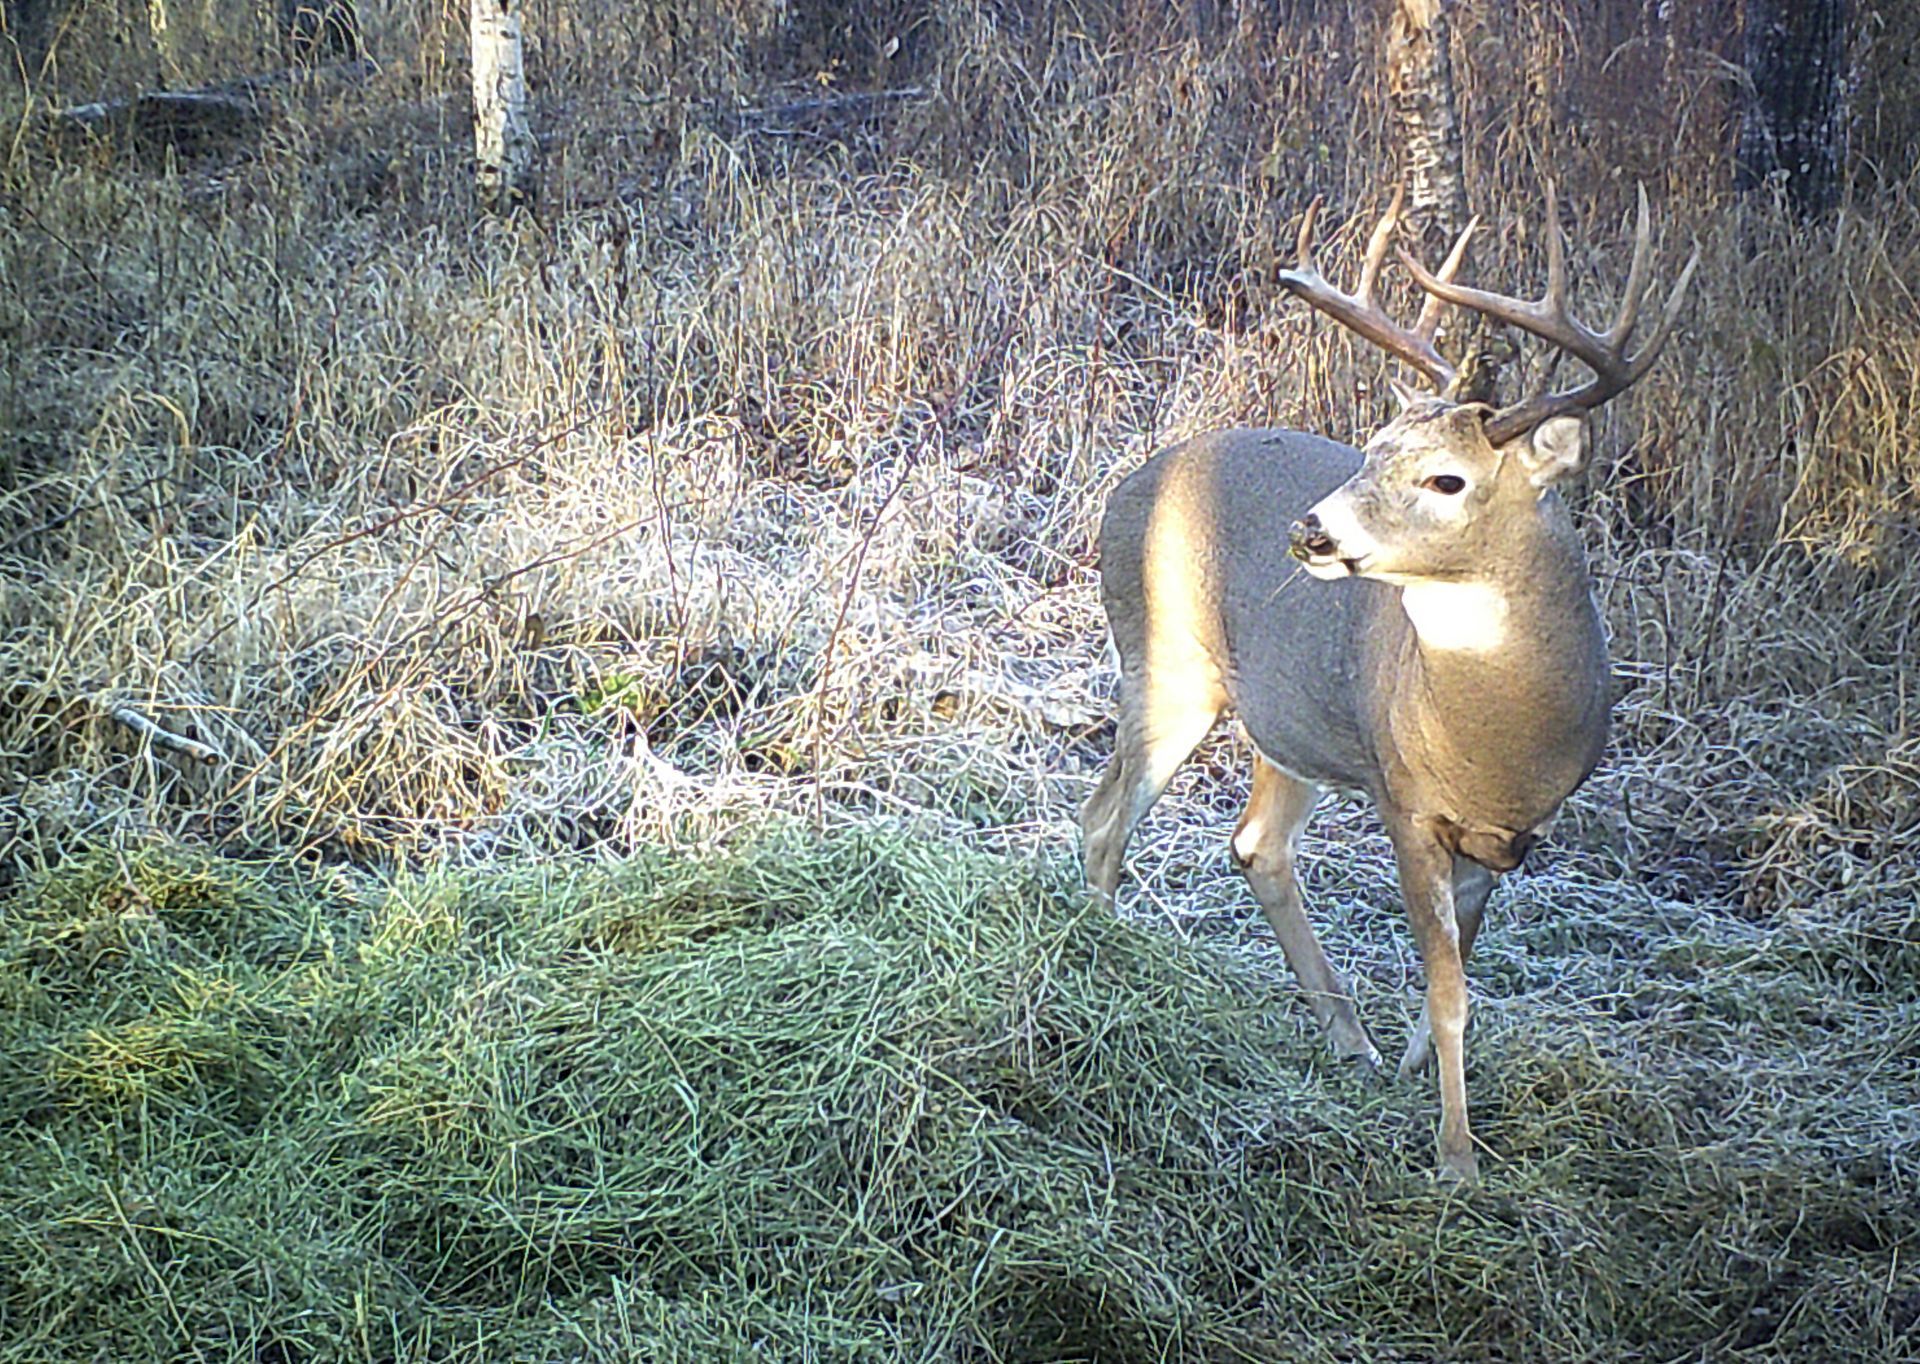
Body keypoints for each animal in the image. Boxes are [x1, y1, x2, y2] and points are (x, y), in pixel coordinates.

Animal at [1082, 184, 1696, 1181]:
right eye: (1369, 449)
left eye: (1447, 479)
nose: (1310, 532)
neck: (1503, 734)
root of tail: (1130, 485)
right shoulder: (1405, 800)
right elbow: (1450, 992)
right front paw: (1457, 1160)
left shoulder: (1517, 833)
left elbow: (1458, 969)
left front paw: (1411, 1070)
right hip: (1168, 660)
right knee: (1108, 821)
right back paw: (1098, 967)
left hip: (1288, 719)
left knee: (1251, 842)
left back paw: (1351, 1042)